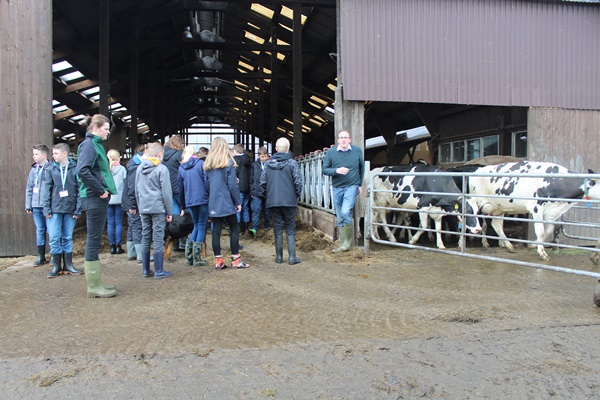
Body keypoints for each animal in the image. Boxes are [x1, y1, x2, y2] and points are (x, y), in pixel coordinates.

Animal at [468, 161, 600, 261]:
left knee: (497, 225)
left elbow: (548, 231)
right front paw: (542, 253)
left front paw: (533, 245)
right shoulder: (537, 207)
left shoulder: (551, 212)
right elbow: (541, 231)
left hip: (499, 207)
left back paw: (509, 246)